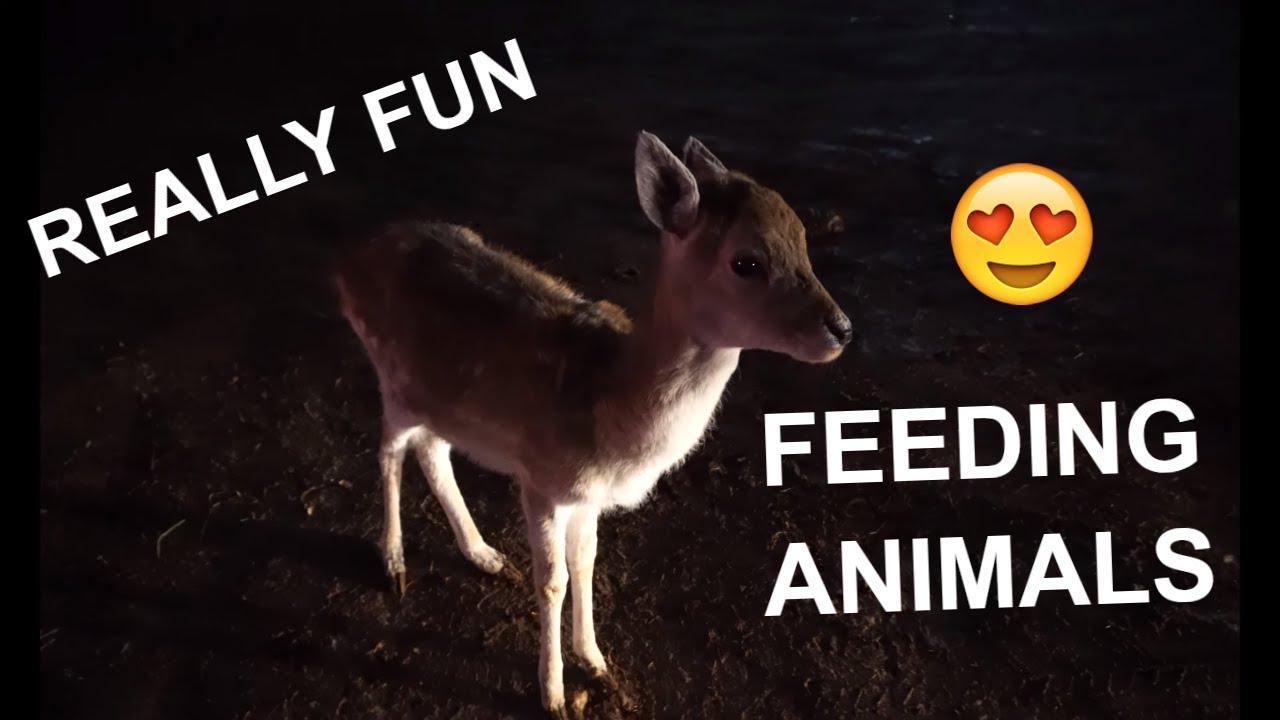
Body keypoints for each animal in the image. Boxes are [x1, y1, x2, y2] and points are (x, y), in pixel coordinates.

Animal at [333, 131, 852, 718]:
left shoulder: (586, 496)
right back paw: (395, 564)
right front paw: (554, 694)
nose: (841, 330)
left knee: (433, 450)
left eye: (804, 240)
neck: (613, 420)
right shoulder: (539, 480)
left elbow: (585, 565)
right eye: (746, 262)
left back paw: (483, 554)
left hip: (436, 400)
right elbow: (553, 581)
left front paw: (597, 663)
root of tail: (349, 260)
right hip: (390, 376)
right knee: (389, 450)